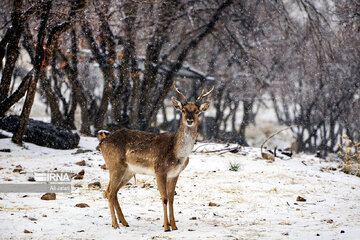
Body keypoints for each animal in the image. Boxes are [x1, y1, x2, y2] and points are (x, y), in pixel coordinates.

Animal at [97, 81, 214, 232]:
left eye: (196, 111)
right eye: (183, 110)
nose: (189, 120)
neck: (178, 154)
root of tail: (102, 142)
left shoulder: (174, 174)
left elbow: (171, 198)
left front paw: (174, 226)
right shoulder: (159, 170)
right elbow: (164, 198)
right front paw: (166, 227)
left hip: (128, 171)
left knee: (113, 191)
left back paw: (124, 222)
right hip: (115, 165)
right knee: (109, 191)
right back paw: (116, 224)